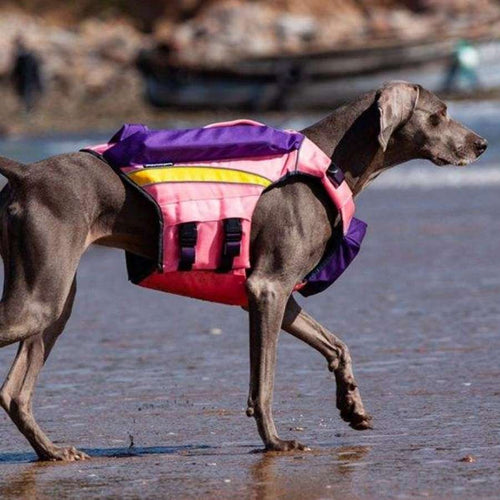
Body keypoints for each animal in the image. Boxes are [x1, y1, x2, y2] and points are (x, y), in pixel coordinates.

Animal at [0, 82, 488, 460]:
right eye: (440, 114)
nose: (482, 144)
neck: (331, 163)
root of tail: (26, 172)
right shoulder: (267, 288)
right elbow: (264, 382)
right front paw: (276, 442)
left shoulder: (279, 295)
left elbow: (336, 345)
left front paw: (352, 405)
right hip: (40, 297)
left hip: (54, 301)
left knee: (14, 392)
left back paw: (53, 451)